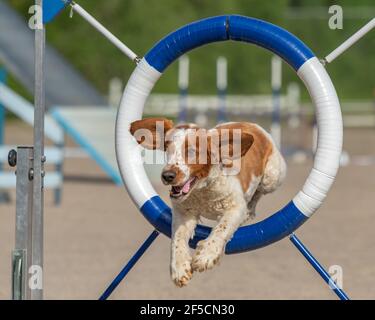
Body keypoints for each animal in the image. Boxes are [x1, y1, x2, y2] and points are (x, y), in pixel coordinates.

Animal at [131, 118, 286, 288]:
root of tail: (251, 124)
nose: (167, 176)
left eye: (192, 151)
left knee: (258, 195)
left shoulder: (235, 207)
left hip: (272, 177)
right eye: (167, 147)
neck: (202, 189)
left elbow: (222, 228)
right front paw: (179, 268)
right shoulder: (183, 213)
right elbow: (177, 237)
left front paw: (206, 255)